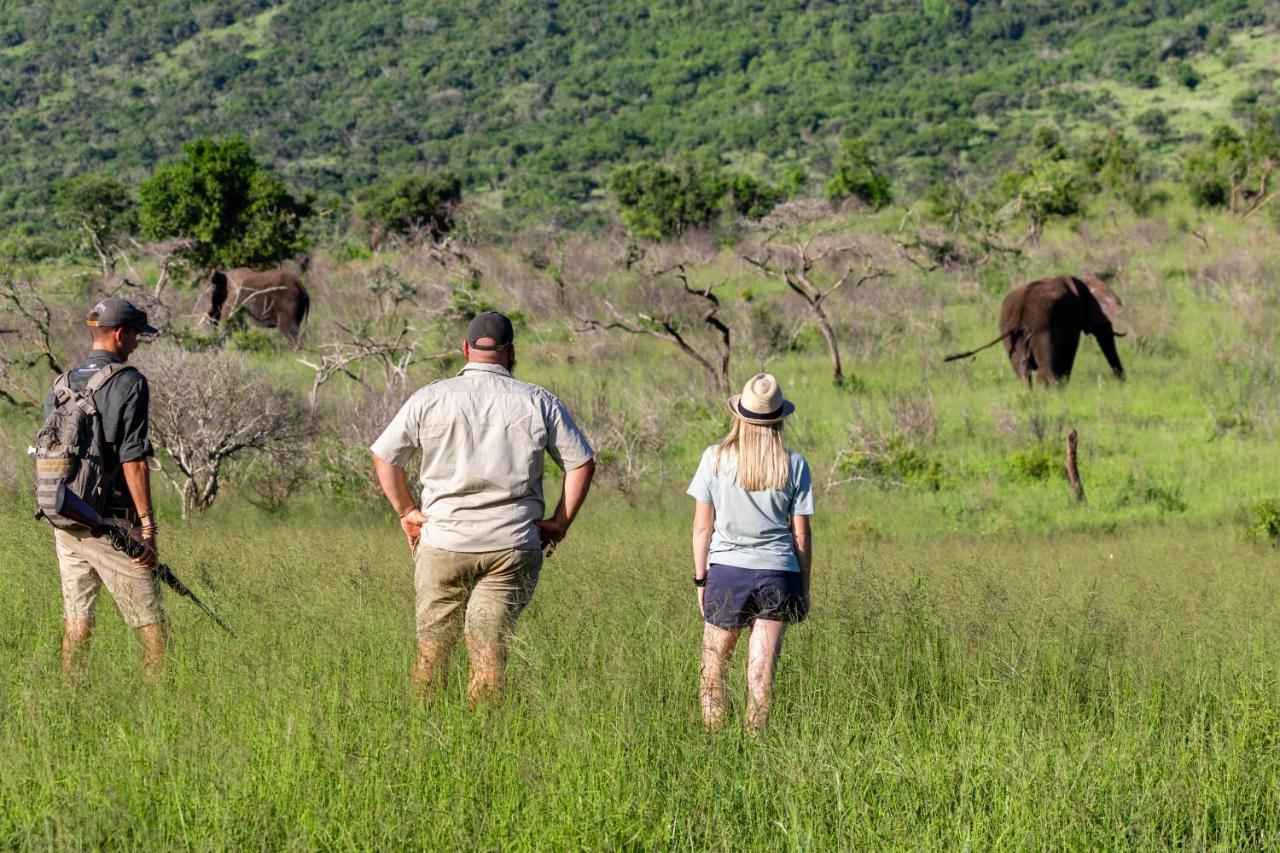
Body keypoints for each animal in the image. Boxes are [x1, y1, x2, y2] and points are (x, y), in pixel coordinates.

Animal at [947, 275, 1126, 384]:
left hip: (1009, 331)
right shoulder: (1072, 318)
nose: (1122, 382)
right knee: (1043, 367)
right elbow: (1069, 349)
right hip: (1041, 328)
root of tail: (1020, 309)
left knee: (1022, 369)